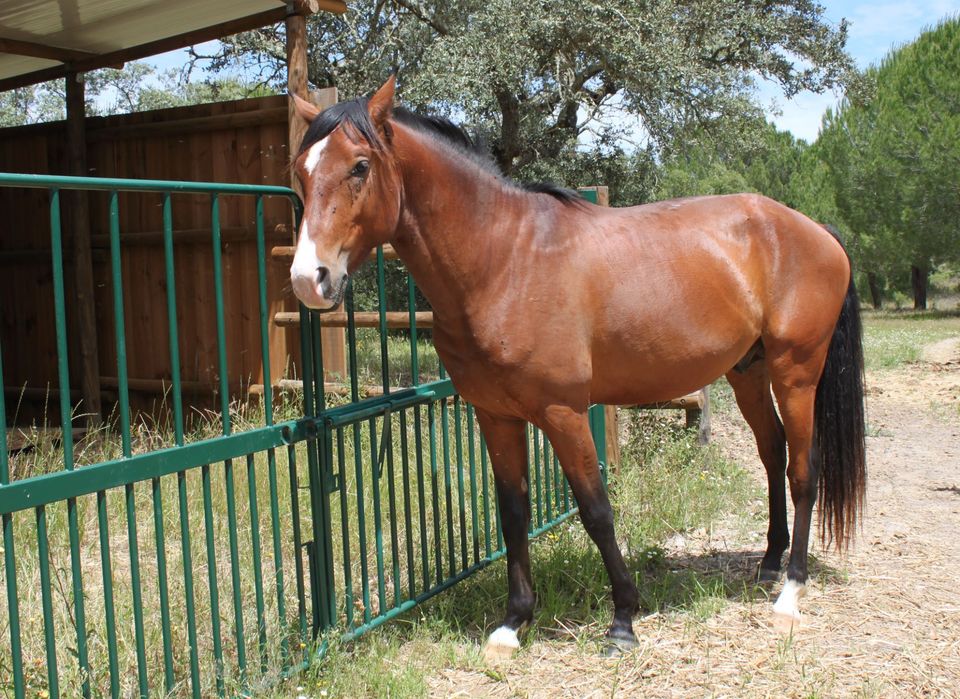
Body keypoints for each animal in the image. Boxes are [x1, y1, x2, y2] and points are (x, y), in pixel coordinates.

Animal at [288, 77, 866, 656]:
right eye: (301, 171)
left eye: (360, 166)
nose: (308, 279)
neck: (503, 259)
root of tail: (813, 229)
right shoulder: (495, 416)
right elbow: (513, 514)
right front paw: (512, 623)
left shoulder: (563, 413)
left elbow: (596, 511)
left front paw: (624, 619)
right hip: (749, 371)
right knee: (772, 454)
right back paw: (769, 564)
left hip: (796, 373)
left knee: (802, 469)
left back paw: (790, 593)